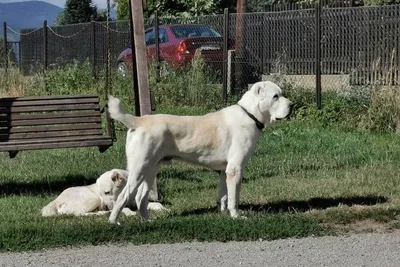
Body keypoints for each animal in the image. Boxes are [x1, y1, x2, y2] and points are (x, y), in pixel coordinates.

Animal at [41, 170, 169, 218]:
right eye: (101, 193)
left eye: (107, 192)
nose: (104, 206)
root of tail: (56, 201)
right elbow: (124, 209)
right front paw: (129, 212)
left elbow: (156, 204)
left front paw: (165, 209)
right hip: (93, 199)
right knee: (79, 214)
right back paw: (104, 212)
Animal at [108, 81, 292, 224]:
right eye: (276, 96)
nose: (292, 105)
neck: (250, 114)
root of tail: (140, 120)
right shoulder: (235, 169)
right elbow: (234, 198)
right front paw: (236, 216)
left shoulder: (224, 171)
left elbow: (223, 195)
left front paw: (222, 212)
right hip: (139, 169)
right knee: (123, 197)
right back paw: (113, 222)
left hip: (151, 169)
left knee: (140, 198)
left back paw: (147, 221)